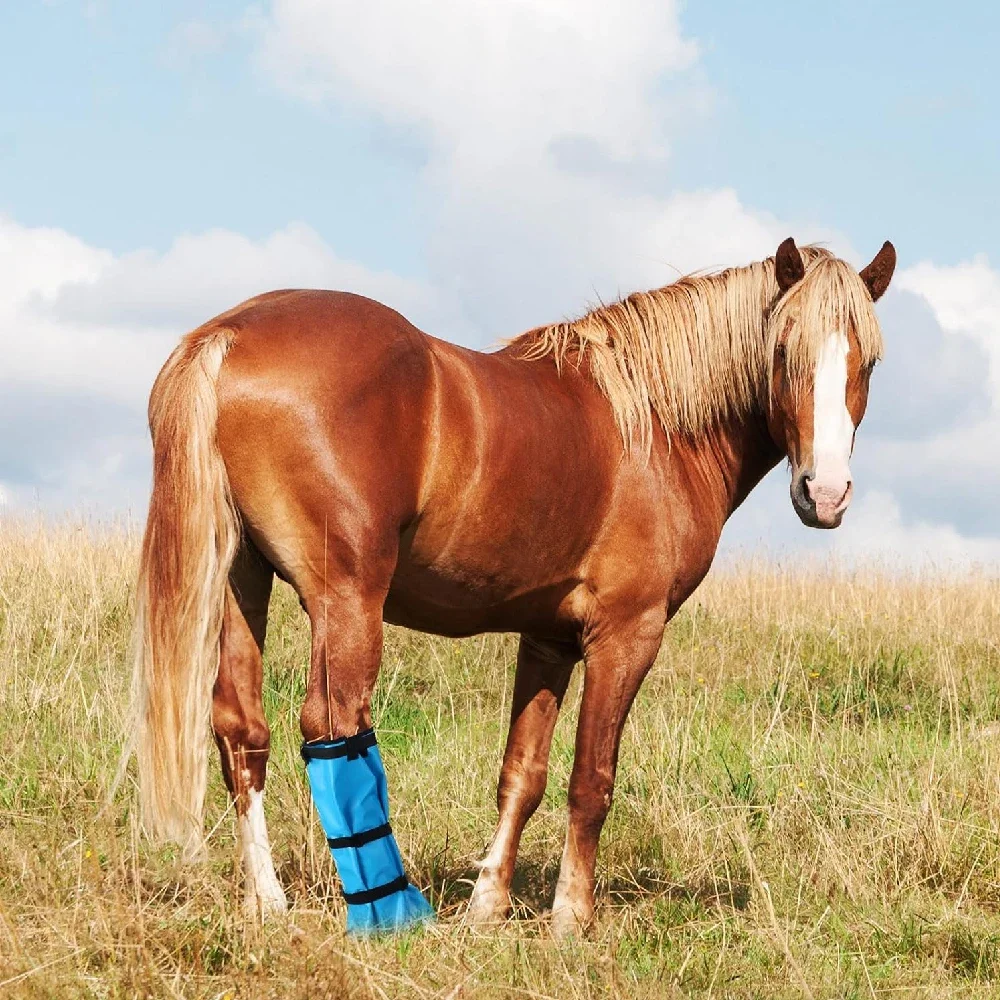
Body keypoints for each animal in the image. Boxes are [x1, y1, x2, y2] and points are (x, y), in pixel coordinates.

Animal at [129, 236, 895, 935]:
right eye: (783, 350)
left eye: (868, 361)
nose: (826, 494)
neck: (654, 426)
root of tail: (230, 335)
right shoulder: (627, 634)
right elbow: (591, 779)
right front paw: (571, 917)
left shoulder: (548, 636)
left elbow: (522, 773)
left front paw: (488, 904)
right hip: (346, 599)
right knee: (334, 726)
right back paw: (387, 909)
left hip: (238, 581)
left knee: (241, 730)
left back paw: (268, 901)